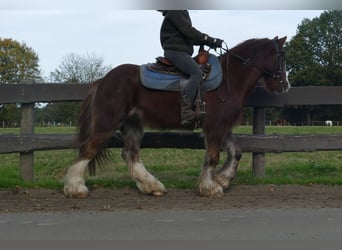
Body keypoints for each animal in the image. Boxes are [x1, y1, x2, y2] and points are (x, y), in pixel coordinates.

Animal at [62, 36, 290, 198]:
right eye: (282, 57)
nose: (285, 85)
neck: (229, 79)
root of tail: (103, 80)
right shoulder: (215, 127)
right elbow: (213, 157)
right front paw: (210, 187)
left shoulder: (222, 126)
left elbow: (237, 151)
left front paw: (223, 179)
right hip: (108, 123)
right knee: (88, 149)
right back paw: (75, 188)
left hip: (133, 125)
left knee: (130, 155)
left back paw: (151, 186)